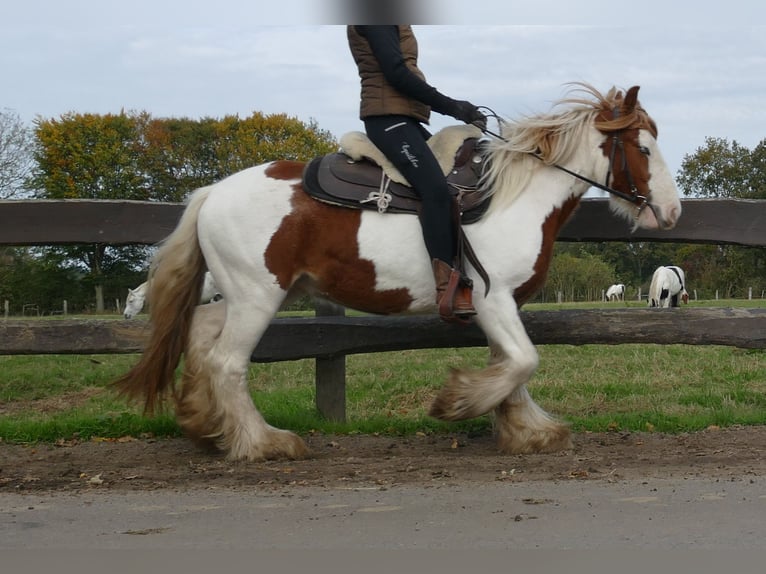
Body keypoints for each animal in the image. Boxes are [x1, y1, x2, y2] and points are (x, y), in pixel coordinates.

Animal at [114, 84, 684, 464]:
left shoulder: (502, 306)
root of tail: (212, 193)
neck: (514, 198)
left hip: (236, 297)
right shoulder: (492, 298)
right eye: (644, 148)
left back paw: (204, 424)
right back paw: (263, 442)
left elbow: (512, 365)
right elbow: (523, 361)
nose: (672, 211)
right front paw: (458, 402)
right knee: (228, 363)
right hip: (256, 298)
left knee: (200, 341)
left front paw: (528, 431)